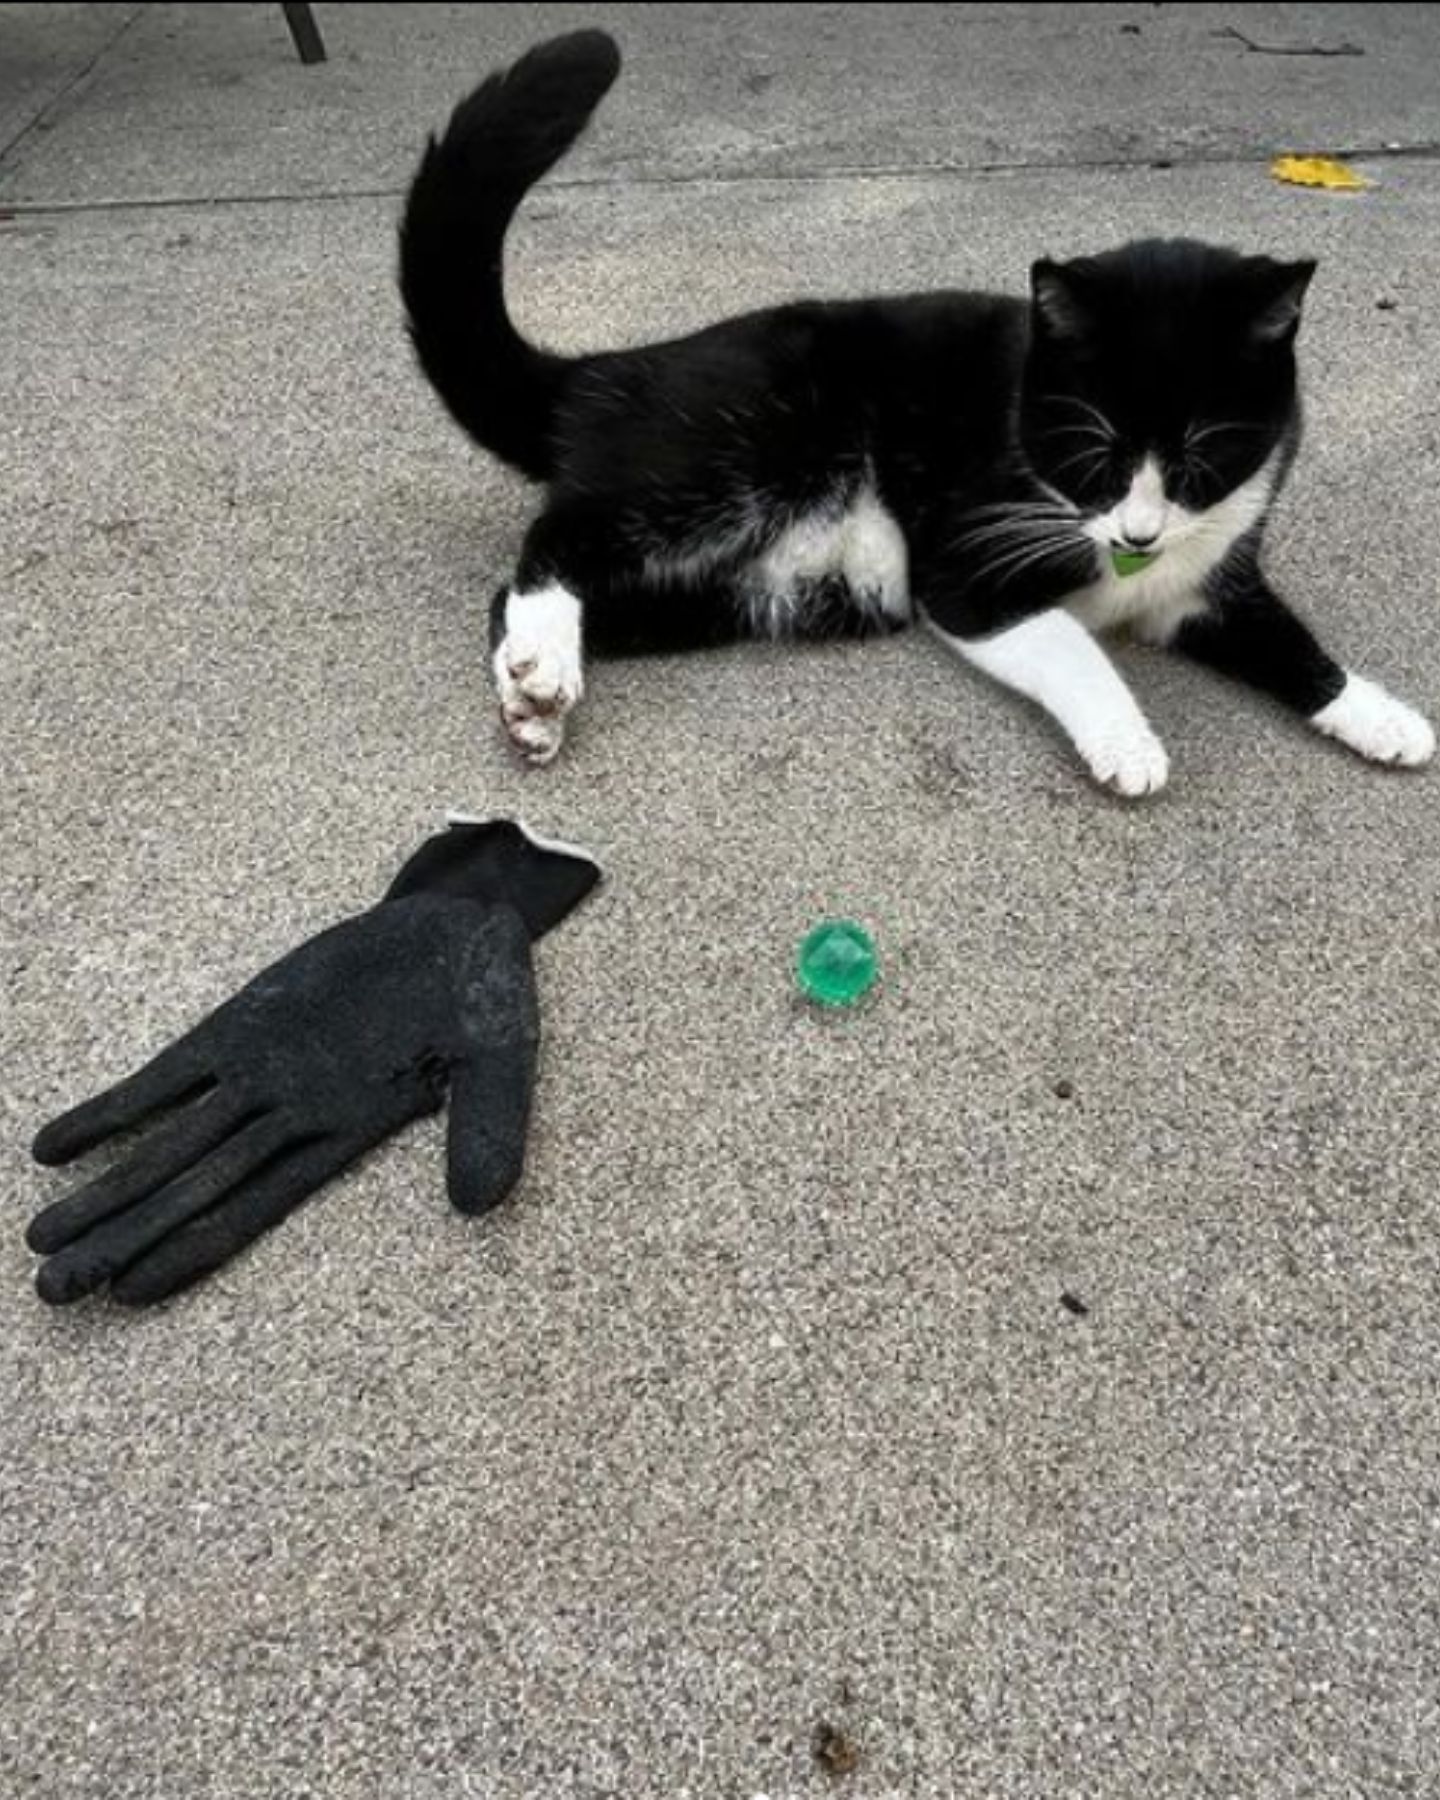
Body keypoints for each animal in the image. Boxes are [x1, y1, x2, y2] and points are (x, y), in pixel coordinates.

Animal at [399, 28, 1432, 795]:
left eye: (1201, 457)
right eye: (1092, 450)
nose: (1138, 533)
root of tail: (611, 370)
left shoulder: (1206, 580)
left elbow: (1286, 639)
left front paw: (1380, 715)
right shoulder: (968, 571)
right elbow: (1071, 645)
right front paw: (1128, 743)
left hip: (756, 593)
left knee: (551, 592)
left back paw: (534, 698)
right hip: (732, 460)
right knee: (556, 541)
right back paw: (543, 665)